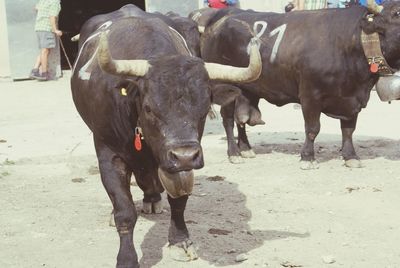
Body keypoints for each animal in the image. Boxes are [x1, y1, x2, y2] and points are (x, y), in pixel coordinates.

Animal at [70, 7, 260, 266]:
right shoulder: (109, 153)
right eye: (149, 108)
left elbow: (179, 201)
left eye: (204, 108)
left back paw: (152, 199)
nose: (185, 156)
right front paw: (127, 258)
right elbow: (124, 210)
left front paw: (180, 242)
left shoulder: (179, 163)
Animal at [202, 1, 400, 169]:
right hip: (224, 84)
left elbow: (348, 130)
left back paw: (245, 149)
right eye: (397, 13)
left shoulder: (352, 100)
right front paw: (307, 157)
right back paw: (234, 153)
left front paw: (351, 157)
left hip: (247, 89)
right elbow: (312, 129)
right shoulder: (310, 96)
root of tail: (225, 15)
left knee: (241, 118)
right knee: (228, 120)